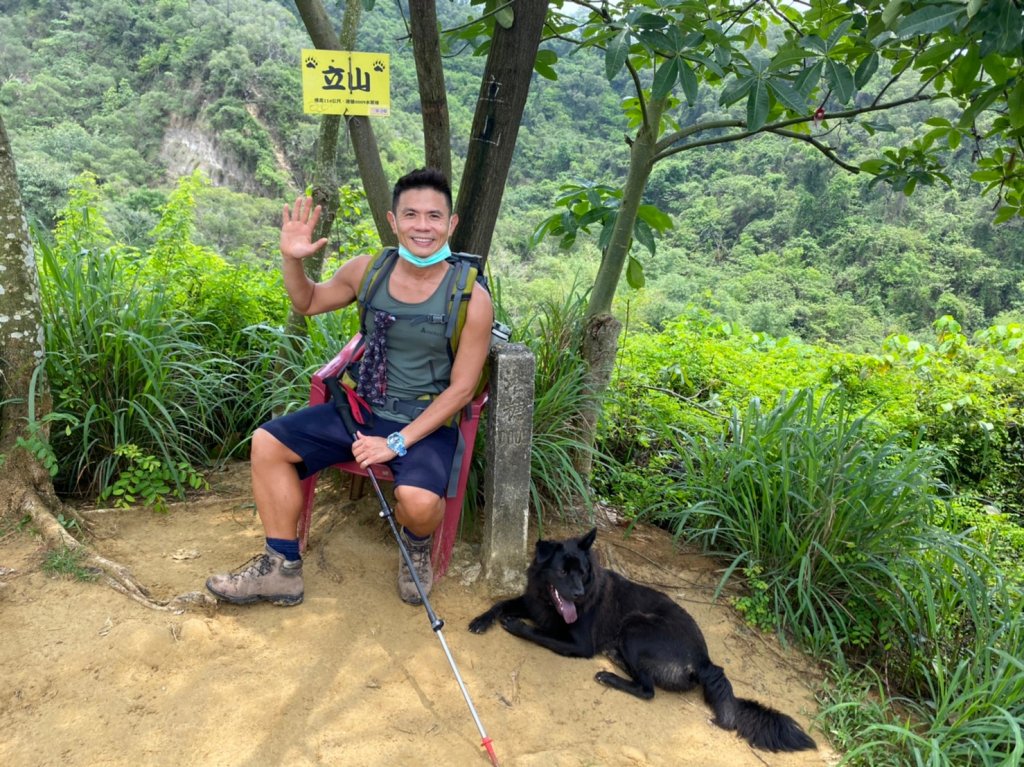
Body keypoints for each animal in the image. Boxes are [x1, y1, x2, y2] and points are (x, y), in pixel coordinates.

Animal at [471, 528, 815, 749]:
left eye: (581, 572)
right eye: (563, 572)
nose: (580, 594)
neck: (548, 599)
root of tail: (706, 661)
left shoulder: (579, 644)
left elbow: (539, 633)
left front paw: (515, 625)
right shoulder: (533, 602)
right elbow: (501, 603)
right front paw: (481, 619)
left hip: (635, 627)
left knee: (648, 690)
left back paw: (609, 676)